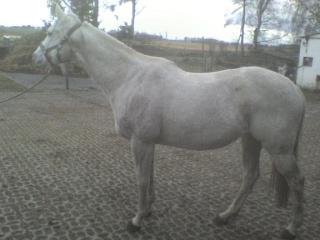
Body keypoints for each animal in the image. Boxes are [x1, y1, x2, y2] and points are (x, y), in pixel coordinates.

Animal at [33, 5, 306, 238]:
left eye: (49, 32)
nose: (35, 57)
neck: (130, 77)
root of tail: (294, 88)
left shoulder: (140, 141)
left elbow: (142, 179)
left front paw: (136, 221)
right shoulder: (148, 142)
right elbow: (150, 177)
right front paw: (147, 211)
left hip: (278, 149)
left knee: (297, 182)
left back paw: (291, 229)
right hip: (250, 140)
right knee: (250, 176)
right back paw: (225, 216)